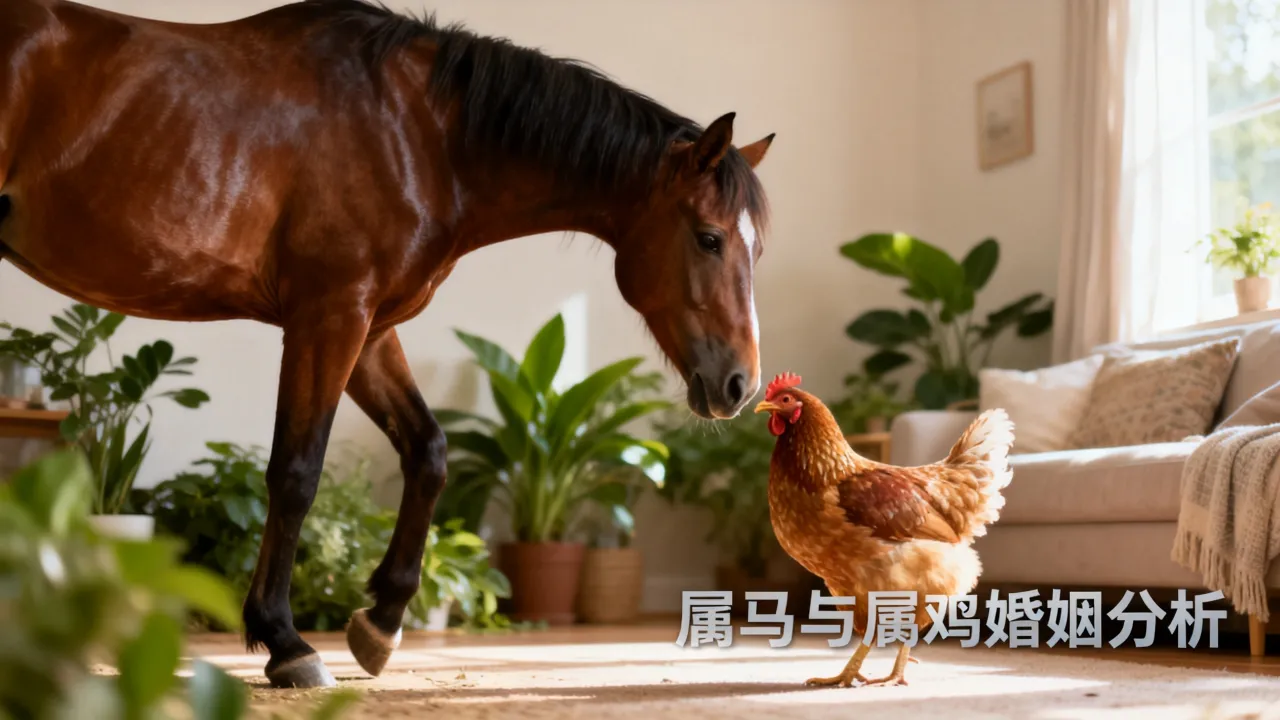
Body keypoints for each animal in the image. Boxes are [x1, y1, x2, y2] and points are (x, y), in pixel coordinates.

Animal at [0, 0, 773, 687]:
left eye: (756, 249)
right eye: (709, 238)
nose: (740, 384)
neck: (420, 136)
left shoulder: (371, 328)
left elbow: (428, 451)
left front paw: (381, 622)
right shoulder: (330, 316)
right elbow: (296, 473)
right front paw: (285, 643)